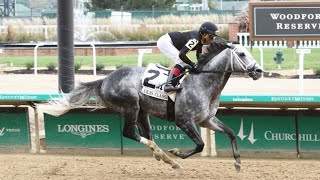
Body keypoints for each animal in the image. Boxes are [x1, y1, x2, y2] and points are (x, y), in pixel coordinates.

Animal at [37, 41, 262, 170]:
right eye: (242, 54)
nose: (259, 70)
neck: (204, 82)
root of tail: (105, 80)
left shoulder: (206, 119)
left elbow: (230, 132)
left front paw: (238, 162)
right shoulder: (184, 121)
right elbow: (200, 145)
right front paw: (178, 152)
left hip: (142, 112)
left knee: (146, 134)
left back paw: (165, 157)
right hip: (131, 106)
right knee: (130, 133)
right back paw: (167, 156)